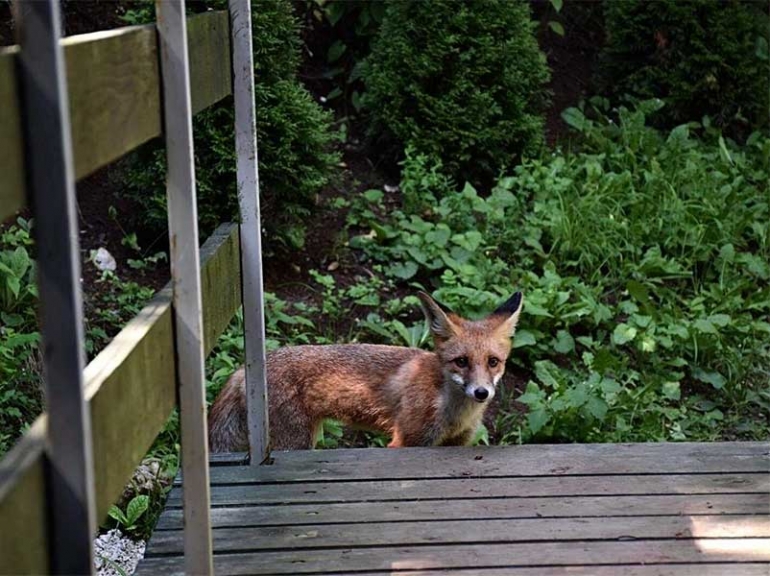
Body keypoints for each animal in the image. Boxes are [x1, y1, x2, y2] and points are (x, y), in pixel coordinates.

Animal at [208, 290, 520, 452]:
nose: (481, 392)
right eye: (461, 361)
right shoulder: (407, 440)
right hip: (295, 443)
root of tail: (242, 370)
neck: (453, 412)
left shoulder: (458, 441)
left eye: (493, 362)